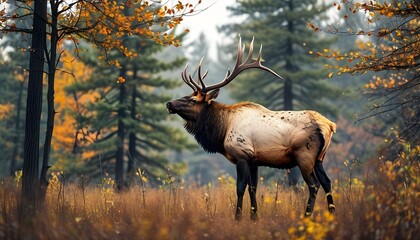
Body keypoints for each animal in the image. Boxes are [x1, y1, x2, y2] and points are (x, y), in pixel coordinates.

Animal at [166, 37, 336, 219]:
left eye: (192, 100)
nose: (169, 104)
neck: (222, 130)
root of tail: (329, 125)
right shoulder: (254, 160)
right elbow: (253, 189)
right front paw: (254, 217)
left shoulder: (241, 155)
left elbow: (240, 188)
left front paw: (238, 217)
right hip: (320, 157)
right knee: (327, 182)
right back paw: (332, 214)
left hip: (304, 154)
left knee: (314, 185)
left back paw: (307, 216)